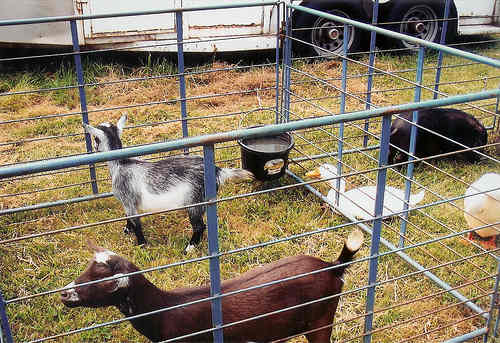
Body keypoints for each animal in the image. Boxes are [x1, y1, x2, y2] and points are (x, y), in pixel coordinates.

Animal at [61, 231, 364, 343]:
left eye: (101, 280)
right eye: (85, 270)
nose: (64, 293)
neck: (165, 309)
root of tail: (333, 266)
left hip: (321, 320)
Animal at [84, 116, 254, 253]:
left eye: (95, 138)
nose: (94, 148)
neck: (121, 163)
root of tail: (218, 170)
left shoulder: (128, 199)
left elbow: (136, 222)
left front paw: (141, 244)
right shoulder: (129, 204)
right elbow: (129, 218)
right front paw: (127, 230)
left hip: (194, 200)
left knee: (199, 226)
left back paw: (189, 248)